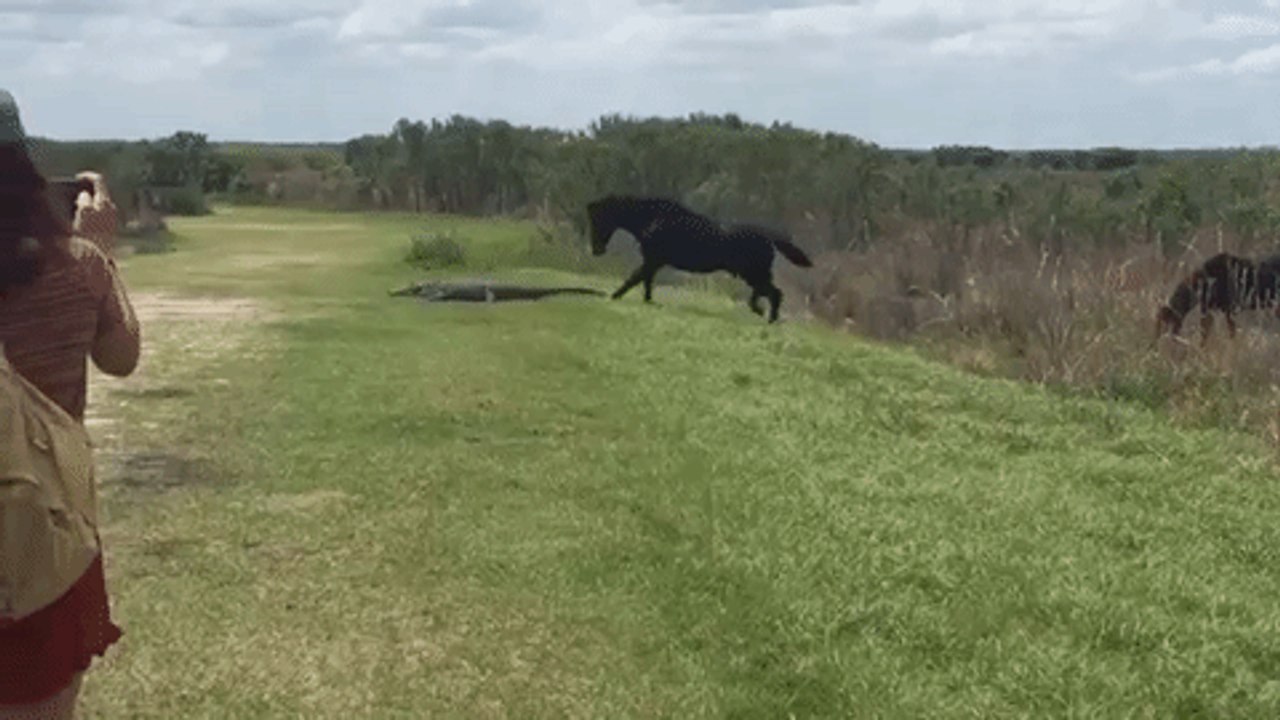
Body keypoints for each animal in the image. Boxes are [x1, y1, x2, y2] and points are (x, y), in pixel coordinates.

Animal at [585, 194, 813, 323]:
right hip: (753, 274)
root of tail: (768, 238)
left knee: (774, 293)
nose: (596, 250)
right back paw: (761, 312)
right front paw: (648, 302)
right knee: (768, 293)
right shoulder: (654, 262)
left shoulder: (652, 260)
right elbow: (645, 281)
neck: (653, 219)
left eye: (597, 220)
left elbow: (634, 279)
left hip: (754, 273)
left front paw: (613, 296)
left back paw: (768, 317)